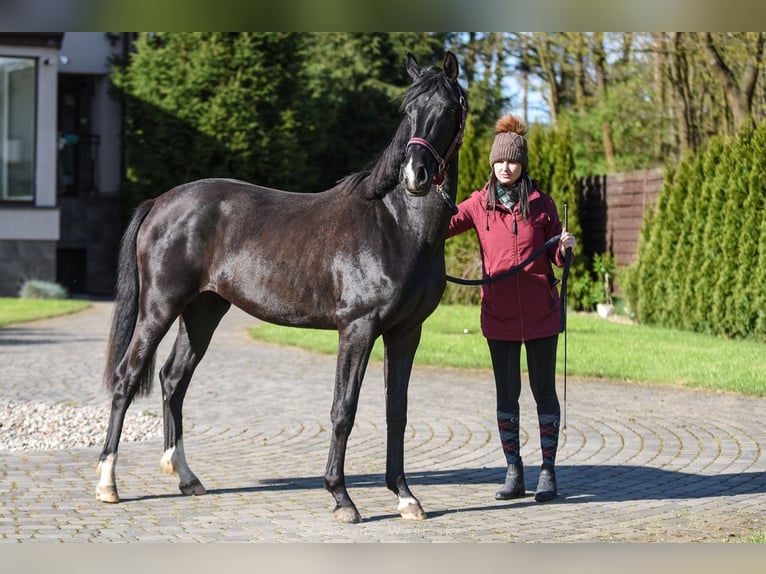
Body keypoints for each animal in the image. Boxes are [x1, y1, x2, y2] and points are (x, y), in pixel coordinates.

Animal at [96, 53, 468, 528]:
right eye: (408, 111)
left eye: (448, 110)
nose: (415, 175)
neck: (396, 224)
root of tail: (160, 202)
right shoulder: (358, 329)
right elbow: (343, 410)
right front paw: (342, 498)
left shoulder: (406, 333)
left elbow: (397, 413)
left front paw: (405, 497)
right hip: (159, 307)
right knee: (126, 379)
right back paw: (107, 483)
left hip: (202, 311)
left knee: (172, 379)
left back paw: (186, 477)